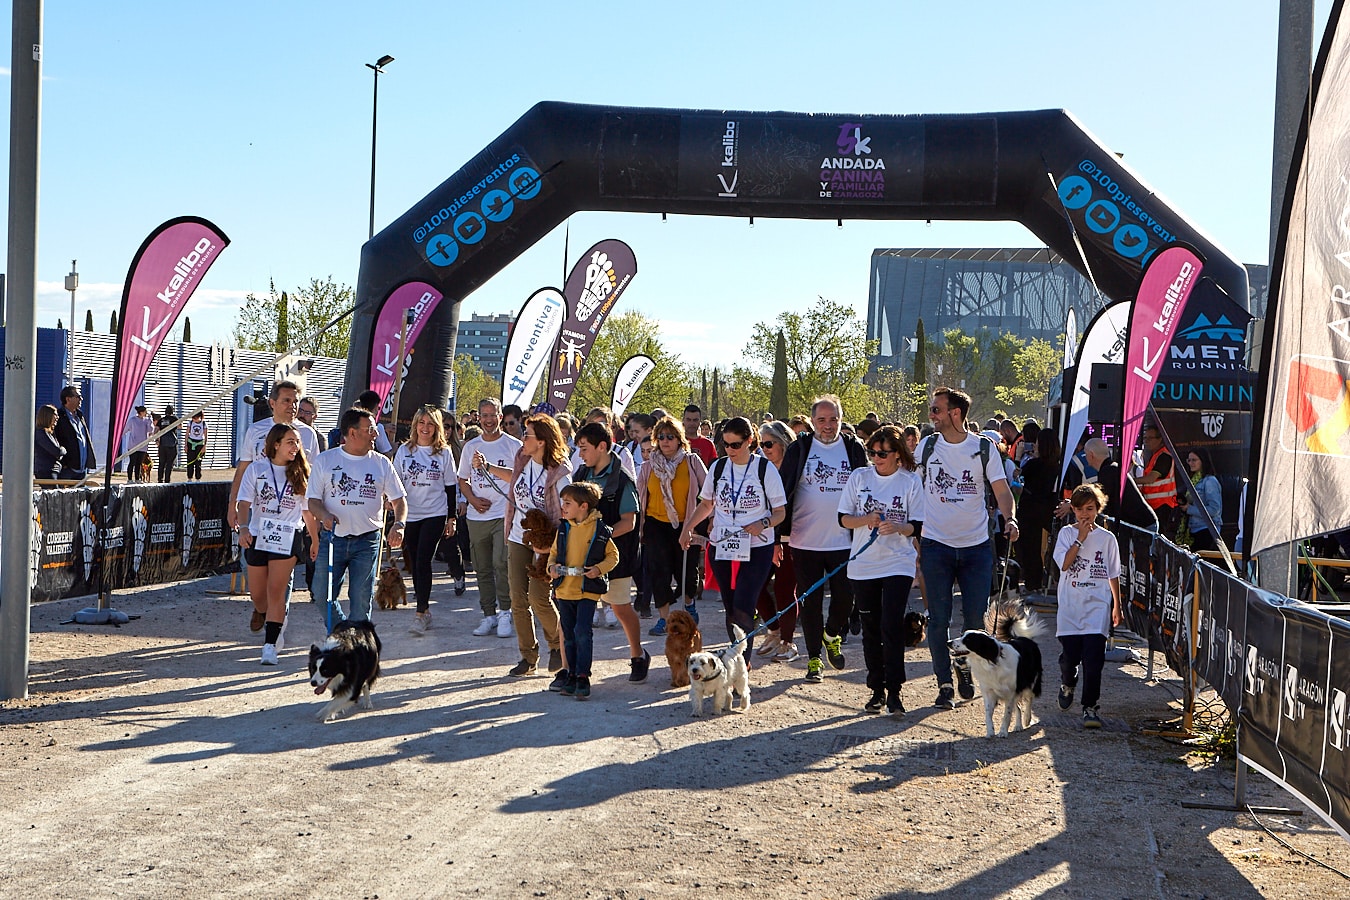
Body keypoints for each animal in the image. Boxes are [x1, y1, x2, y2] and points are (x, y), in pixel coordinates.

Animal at [950, 599, 1042, 739]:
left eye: (968, 640)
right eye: (961, 636)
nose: (948, 643)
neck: (989, 662)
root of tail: (1023, 638)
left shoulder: (1010, 692)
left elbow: (1006, 715)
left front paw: (1003, 732)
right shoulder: (990, 692)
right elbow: (988, 714)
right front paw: (990, 731)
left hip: (1031, 682)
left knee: (1029, 698)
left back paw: (1027, 719)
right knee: (1018, 707)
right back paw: (1018, 726)